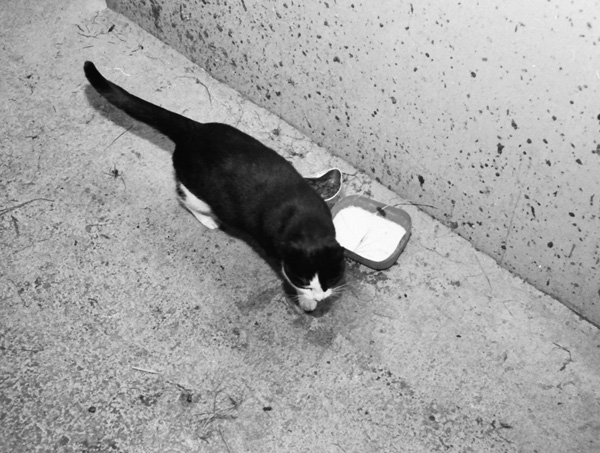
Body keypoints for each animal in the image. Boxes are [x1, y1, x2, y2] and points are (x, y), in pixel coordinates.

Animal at [83, 61, 345, 312]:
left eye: (330, 280)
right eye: (304, 283)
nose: (321, 296)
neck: (307, 224)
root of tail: (192, 130)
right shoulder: (278, 253)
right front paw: (307, 302)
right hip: (196, 190)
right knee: (184, 198)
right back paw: (209, 220)